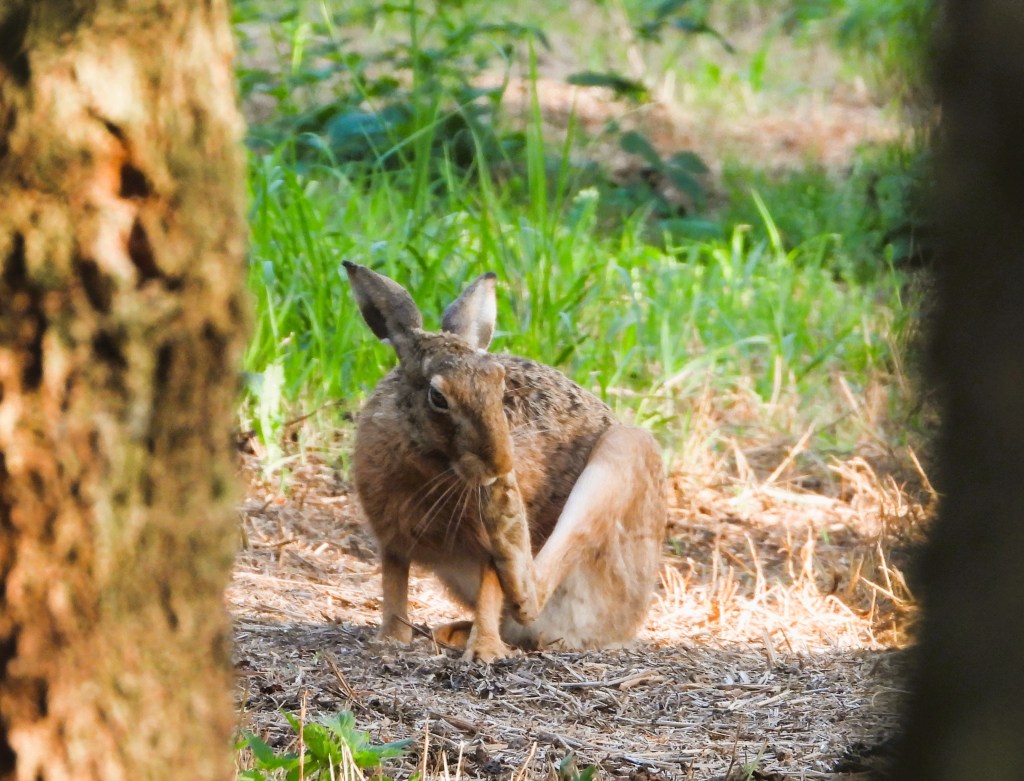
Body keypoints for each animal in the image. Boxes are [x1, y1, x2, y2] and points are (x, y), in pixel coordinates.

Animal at [345, 261, 667, 662]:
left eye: (500, 385)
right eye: (438, 398)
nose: (500, 464)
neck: (432, 462)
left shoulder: (480, 543)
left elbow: (491, 586)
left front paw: (484, 652)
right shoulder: (390, 535)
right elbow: (393, 582)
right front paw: (390, 638)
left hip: (625, 453)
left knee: (534, 591)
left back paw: (507, 518)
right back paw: (450, 631)